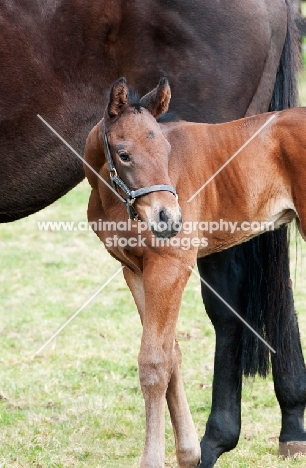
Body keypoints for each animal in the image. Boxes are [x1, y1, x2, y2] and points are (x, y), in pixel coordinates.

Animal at [0, 0, 304, 466]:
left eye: (165, 148)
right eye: (124, 154)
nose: (168, 218)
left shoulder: (171, 264)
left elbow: (155, 363)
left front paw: (160, 457)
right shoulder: (136, 269)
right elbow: (170, 352)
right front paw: (187, 451)